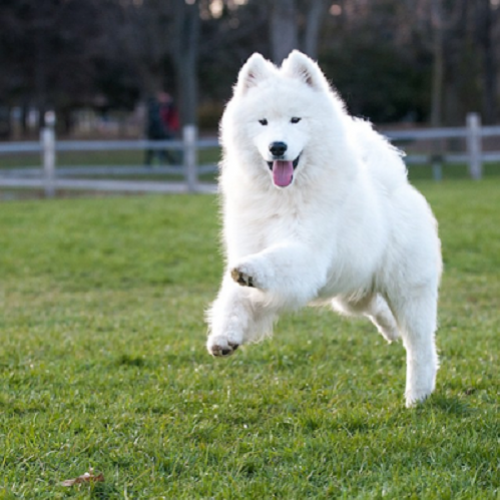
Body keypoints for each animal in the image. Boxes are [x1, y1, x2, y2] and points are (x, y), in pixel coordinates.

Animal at [206, 50, 442, 408]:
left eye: (295, 120)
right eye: (263, 122)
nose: (277, 146)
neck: (282, 195)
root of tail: (397, 185)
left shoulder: (307, 253)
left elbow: (273, 261)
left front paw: (249, 271)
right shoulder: (249, 243)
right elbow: (233, 298)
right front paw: (224, 336)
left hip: (409, 289)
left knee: (419, 346)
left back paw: (417, 396)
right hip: (352, 290)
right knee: (377, 308)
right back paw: (390, 330)